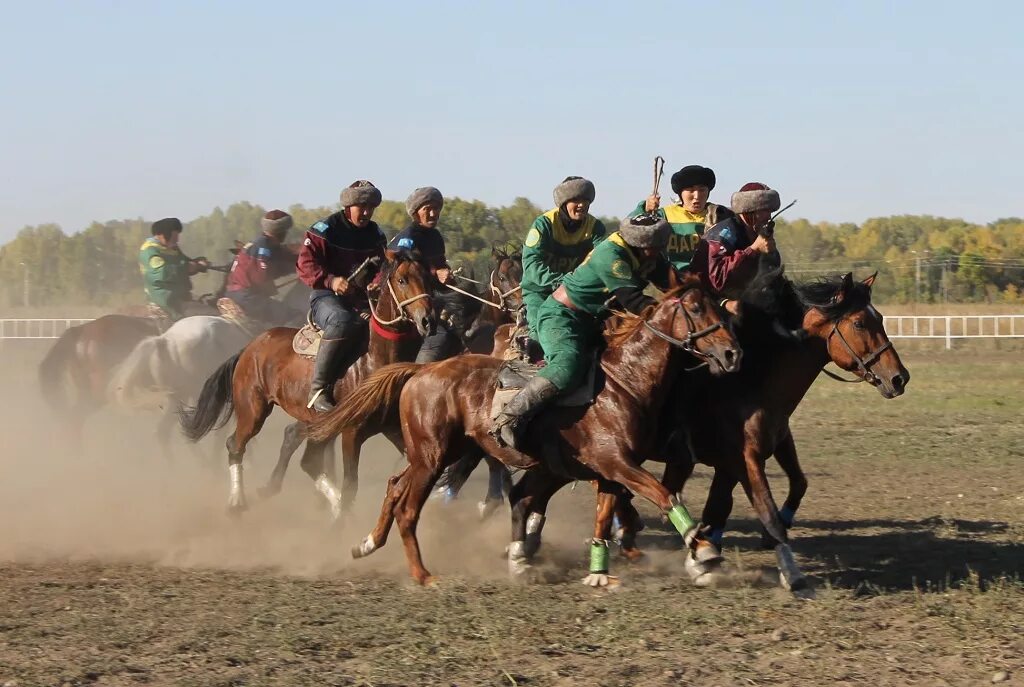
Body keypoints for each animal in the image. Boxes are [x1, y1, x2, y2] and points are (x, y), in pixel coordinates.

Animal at [178, 250, 434, 516]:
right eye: (402, 280)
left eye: (428, 277)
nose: (428, 320)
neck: (374, 357)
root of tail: (248, 348)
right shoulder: (352, 432)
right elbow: (350, 484)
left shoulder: (393, 427)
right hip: (253, 410)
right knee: (236, 445)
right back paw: (237, 502)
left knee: (301, 452)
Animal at [307, 276, 741, 589]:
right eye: (697, 308)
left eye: (719, 305)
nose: (732, 353)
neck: (622, 382)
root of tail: (421, 370)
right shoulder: (616, 462)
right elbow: (664, 494)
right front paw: (703, 552)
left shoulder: (607, 470)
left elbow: (603, 515)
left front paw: (598, 571)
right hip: (431, 457)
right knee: (408, 508)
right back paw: (422, 574)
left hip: (437, 454)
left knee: (396, 486)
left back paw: (367, 544)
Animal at [516, 268, 909, 597]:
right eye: (859, 323)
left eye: (880, 318)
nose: (899, 378)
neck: (753, 379)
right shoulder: (744, 459)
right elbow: (761, 510)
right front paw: (792, 575)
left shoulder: (758, 449)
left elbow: (782, 488)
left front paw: (707, 556)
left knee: (540, 493)